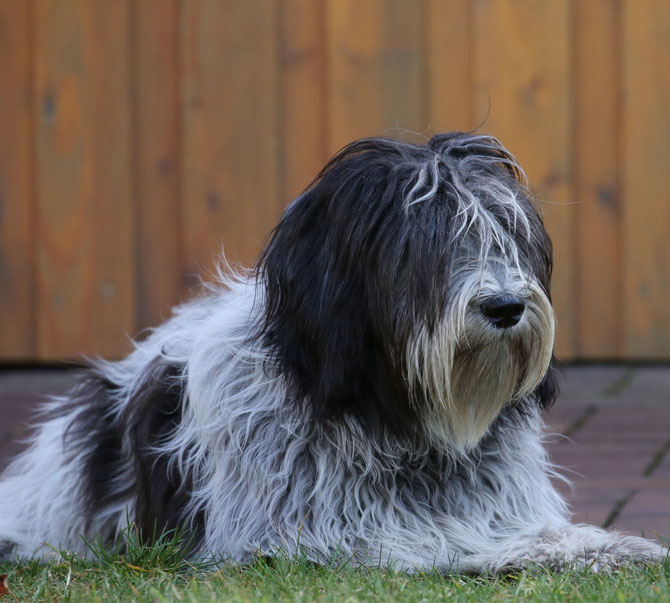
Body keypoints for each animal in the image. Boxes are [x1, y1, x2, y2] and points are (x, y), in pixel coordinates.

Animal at [0, 132, 668, 572]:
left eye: (509, 237)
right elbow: (443, 541)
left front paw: (608, 543)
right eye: (420, 246)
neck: (398, 424)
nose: (506, 306)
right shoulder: (295, 532)